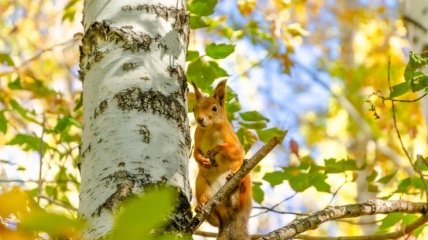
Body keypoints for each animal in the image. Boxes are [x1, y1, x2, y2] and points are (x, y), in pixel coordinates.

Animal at [191, 80, 251, 240]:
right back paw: (201, 207)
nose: (200, 119)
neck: (210, 129)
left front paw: (218, 148)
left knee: (236, 204)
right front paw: (202, 160)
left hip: (245, 181)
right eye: (194, 109)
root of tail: (229, 219)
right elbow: (195, 153)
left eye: (214, 108)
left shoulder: (232, 139)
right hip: (201, 185)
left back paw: (234, 192)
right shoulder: (197, 138)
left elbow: (235, 151)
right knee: (215, 220)